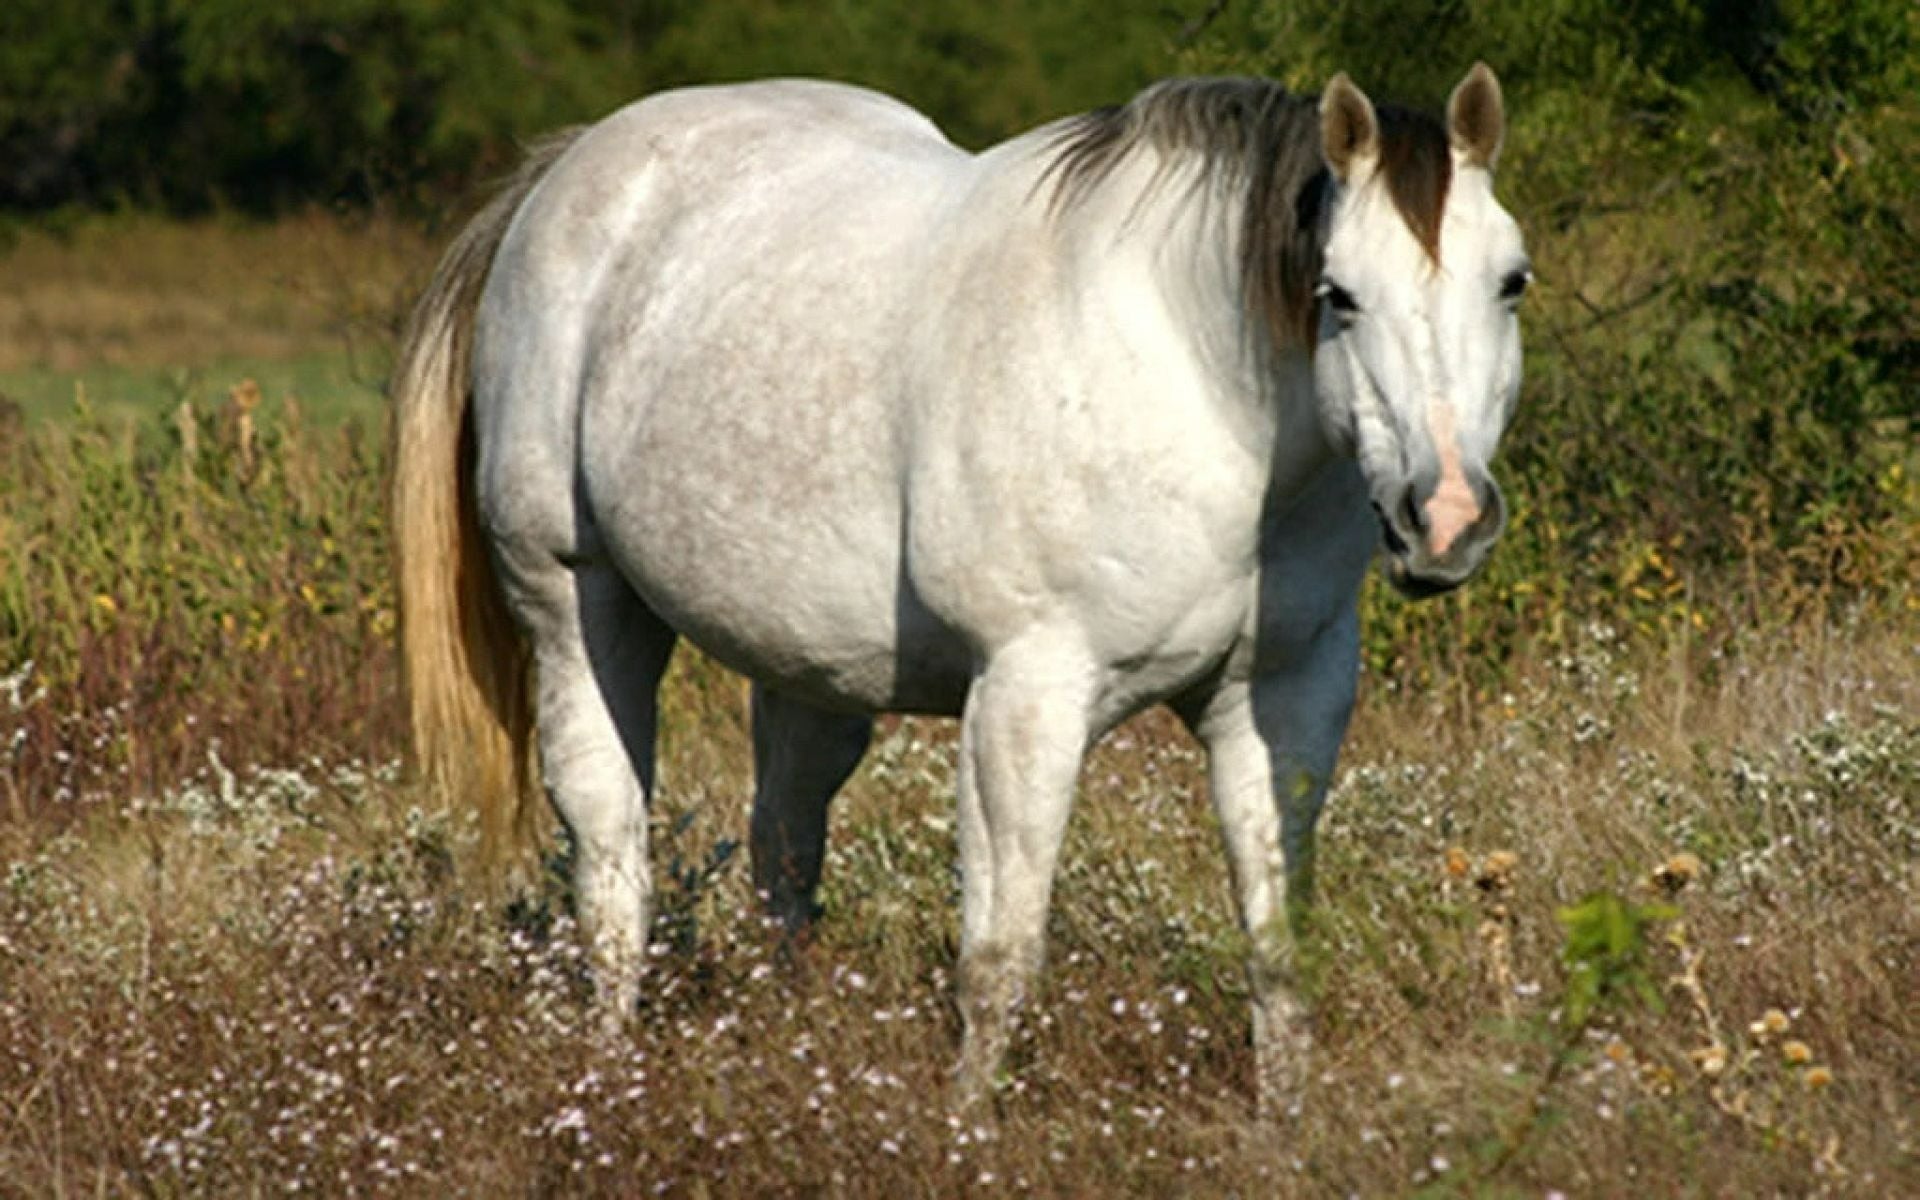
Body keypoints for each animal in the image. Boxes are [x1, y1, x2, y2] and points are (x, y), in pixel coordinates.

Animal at [389, 65, 1528, 1105]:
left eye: (1511, 280)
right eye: (1338, 295)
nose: (1446, 517)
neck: (1195, 381)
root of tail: (563, 173)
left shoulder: (1282, 699)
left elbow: (1279, 949)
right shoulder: (1026, 700)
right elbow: (1000, 961)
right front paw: (971, 1137)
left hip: (806, 669)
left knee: (784, 851)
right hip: (578, 608)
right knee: (613, 867)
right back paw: (608, 1073)